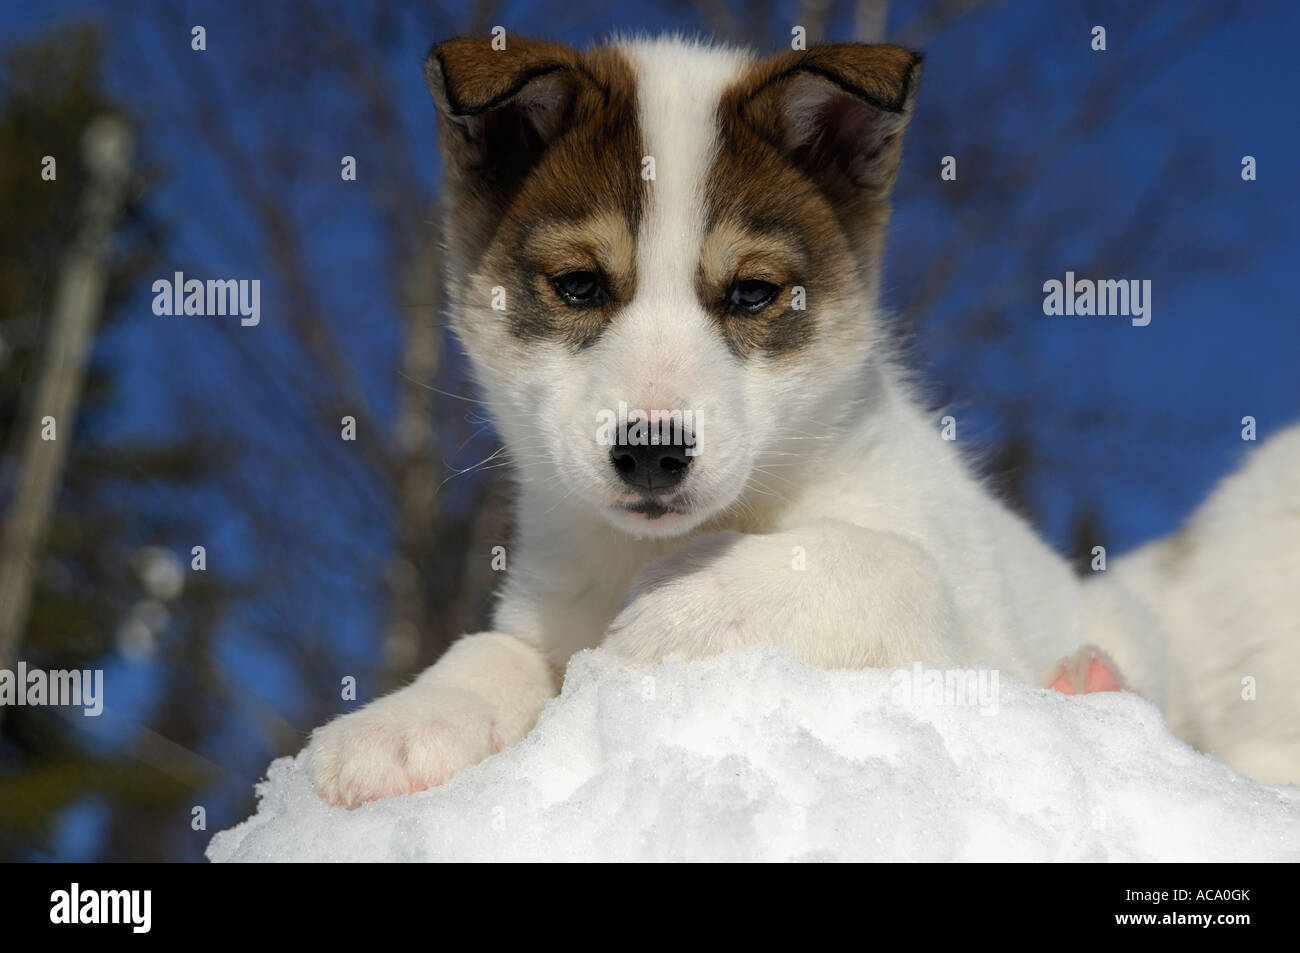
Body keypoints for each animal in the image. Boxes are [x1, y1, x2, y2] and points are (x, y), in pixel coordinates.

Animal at [306, 35, 1300, 800]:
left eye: (751, 293)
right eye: (580, 285)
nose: (652, 453)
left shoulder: (970, 635)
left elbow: (892, 564)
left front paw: (696, 607)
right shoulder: (551, 608)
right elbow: (499, 649)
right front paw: (407, 720)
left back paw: (1090, 679)